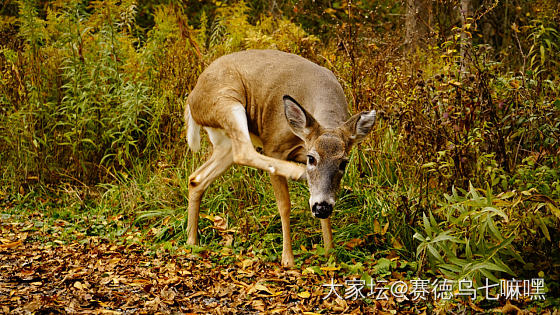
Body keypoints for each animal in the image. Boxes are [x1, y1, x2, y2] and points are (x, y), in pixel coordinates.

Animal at [185, 50, 376, 268]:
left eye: (343, 162)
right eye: (311, 159)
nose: (322, 208)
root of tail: (192, 98)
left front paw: (330, 253)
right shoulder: (274, 147)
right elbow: (284, 205)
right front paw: (288, 259)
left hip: (224, 140)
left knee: (197, 178)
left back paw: (191, 241)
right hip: (227, 100)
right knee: (244, 151)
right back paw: (297, 172)